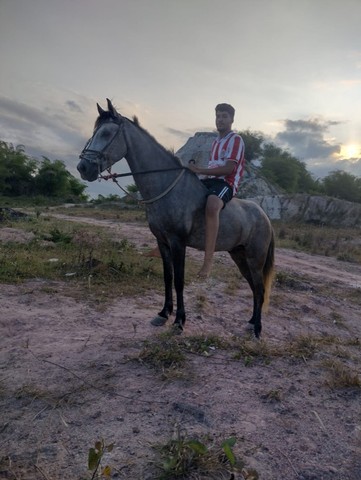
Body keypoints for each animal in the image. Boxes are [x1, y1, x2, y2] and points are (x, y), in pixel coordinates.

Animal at [77, 98, 274, 338]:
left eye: (106, 133)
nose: (82, 167)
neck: (166, 187)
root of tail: (264, 216)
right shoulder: (162, 242)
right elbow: (167, 277)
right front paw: (163, 314)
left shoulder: (178, 242)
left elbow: (179, 280)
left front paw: (179, 321)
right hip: (239, 255)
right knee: (254, 287)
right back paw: (252, 322)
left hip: (255, 258)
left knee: (260, 287)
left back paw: (258, 329)